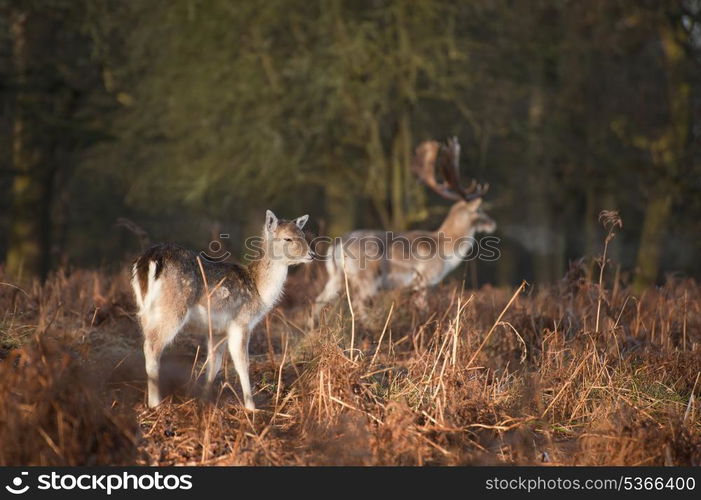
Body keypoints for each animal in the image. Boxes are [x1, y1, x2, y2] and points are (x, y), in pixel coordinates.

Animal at [132, 209, 312, 408]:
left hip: (145, 310)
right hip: (173, 308)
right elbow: (242, 363)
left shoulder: (218, 330)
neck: (259, 291)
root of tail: (149, 259)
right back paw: (155, 404)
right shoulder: (241, 322)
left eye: (303, 234)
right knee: (152, 346)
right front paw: (251, 407)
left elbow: (214, 364)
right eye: (287, 238)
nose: (311, 254)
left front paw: (204, 401)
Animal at [314, 137, 494, 318]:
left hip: (336, 277)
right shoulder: (425, 281)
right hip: (366, 277)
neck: (447, 253)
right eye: (480, 210)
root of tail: (337, 243)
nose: (492, 224)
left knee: (317, 302)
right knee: (357, 305)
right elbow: (424, 310)